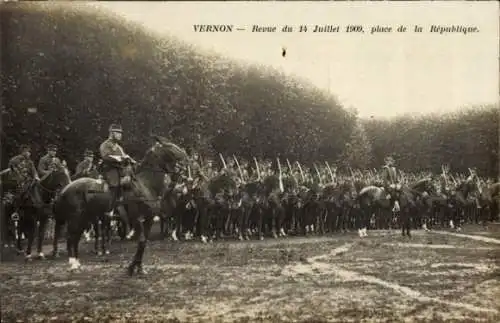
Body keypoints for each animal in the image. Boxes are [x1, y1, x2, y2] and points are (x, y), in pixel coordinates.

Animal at [51, 138, 188, 278]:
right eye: (171, 147)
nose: (186, 159)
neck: (145, 185)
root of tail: (65, 189)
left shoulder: (148, 219)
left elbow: (143, 243)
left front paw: (139, 268)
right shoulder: (136, 219)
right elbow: (141, 241)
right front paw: (132, 268)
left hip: (85, 218)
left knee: (76, 237)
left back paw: (78, 263)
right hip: (76, 218)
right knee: (70, 237)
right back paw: (73, 264)